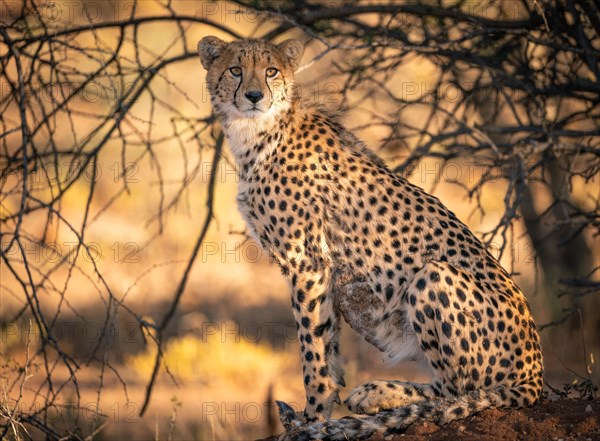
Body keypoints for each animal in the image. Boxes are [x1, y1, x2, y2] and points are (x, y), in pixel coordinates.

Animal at [199, 37, 548, 436]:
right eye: (235, 70)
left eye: (271, 70)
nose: (255, 95)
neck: (256, 131)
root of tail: (536, 371)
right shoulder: (321, 272)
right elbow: (327, 341)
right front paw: (322, 405)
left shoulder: (307, 262)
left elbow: (311, 348)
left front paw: (314, 417)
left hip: (433, 274)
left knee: (457, 390)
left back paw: (377, 394)